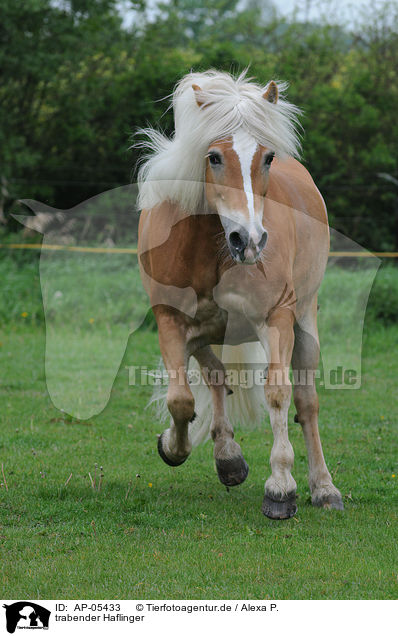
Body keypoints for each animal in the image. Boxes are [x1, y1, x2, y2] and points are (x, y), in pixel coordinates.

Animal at [136, 69, 342, 520]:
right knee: (215, 376)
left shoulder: (276, 318)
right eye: (213, 157)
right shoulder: (170, 320)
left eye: (267, 158)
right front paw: (175, 446)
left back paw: (324, 488)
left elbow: (279, 395)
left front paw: (281, 489)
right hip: (202, 332)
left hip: (305, 322)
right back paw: (227, 456)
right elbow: (180, 400)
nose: (248, 240)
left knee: (307, 403)